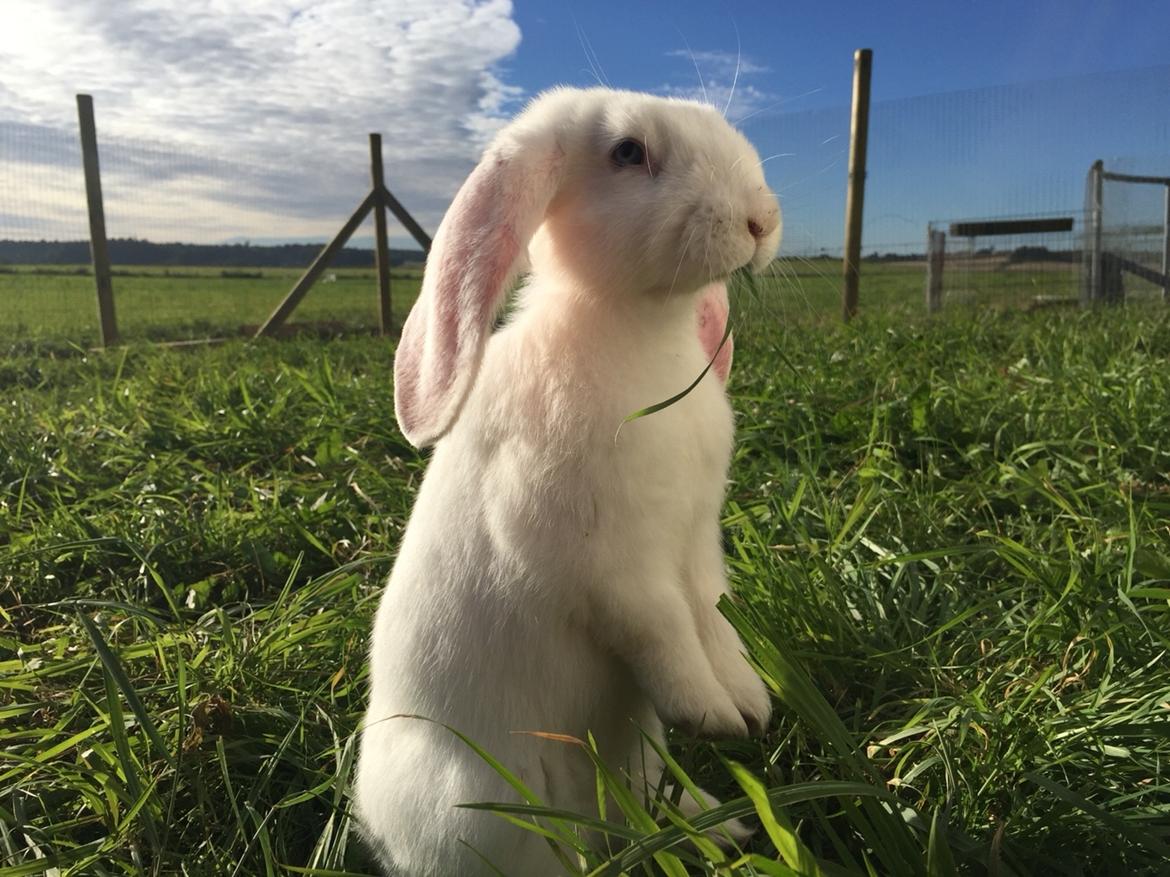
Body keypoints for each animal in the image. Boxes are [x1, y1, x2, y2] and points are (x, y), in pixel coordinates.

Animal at [353, 87, 776, 877]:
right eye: (629, 152)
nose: (761, 220)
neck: (642, 331)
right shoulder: (608, 566)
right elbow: (664, 631)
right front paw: (712, 713)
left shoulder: (697, 543)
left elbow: (716, 617)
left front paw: (749, 697)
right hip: (486, 808)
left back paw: (718, 826)